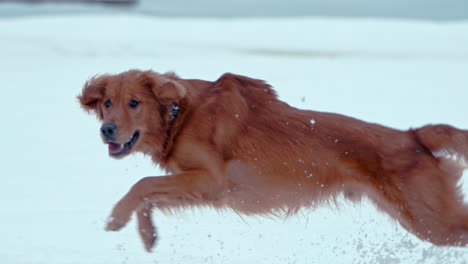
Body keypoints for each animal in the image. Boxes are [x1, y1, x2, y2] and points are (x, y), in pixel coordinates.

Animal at [78, 69, 466, 252]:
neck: (179, 113)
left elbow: (142, 184)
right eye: (107, 102)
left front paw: (116, 217)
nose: (107, 130)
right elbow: (149, 195)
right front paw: (148, 235)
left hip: (432, 220)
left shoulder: (211, 180)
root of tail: (414, 136)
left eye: (134, 103)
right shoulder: (196, 185)